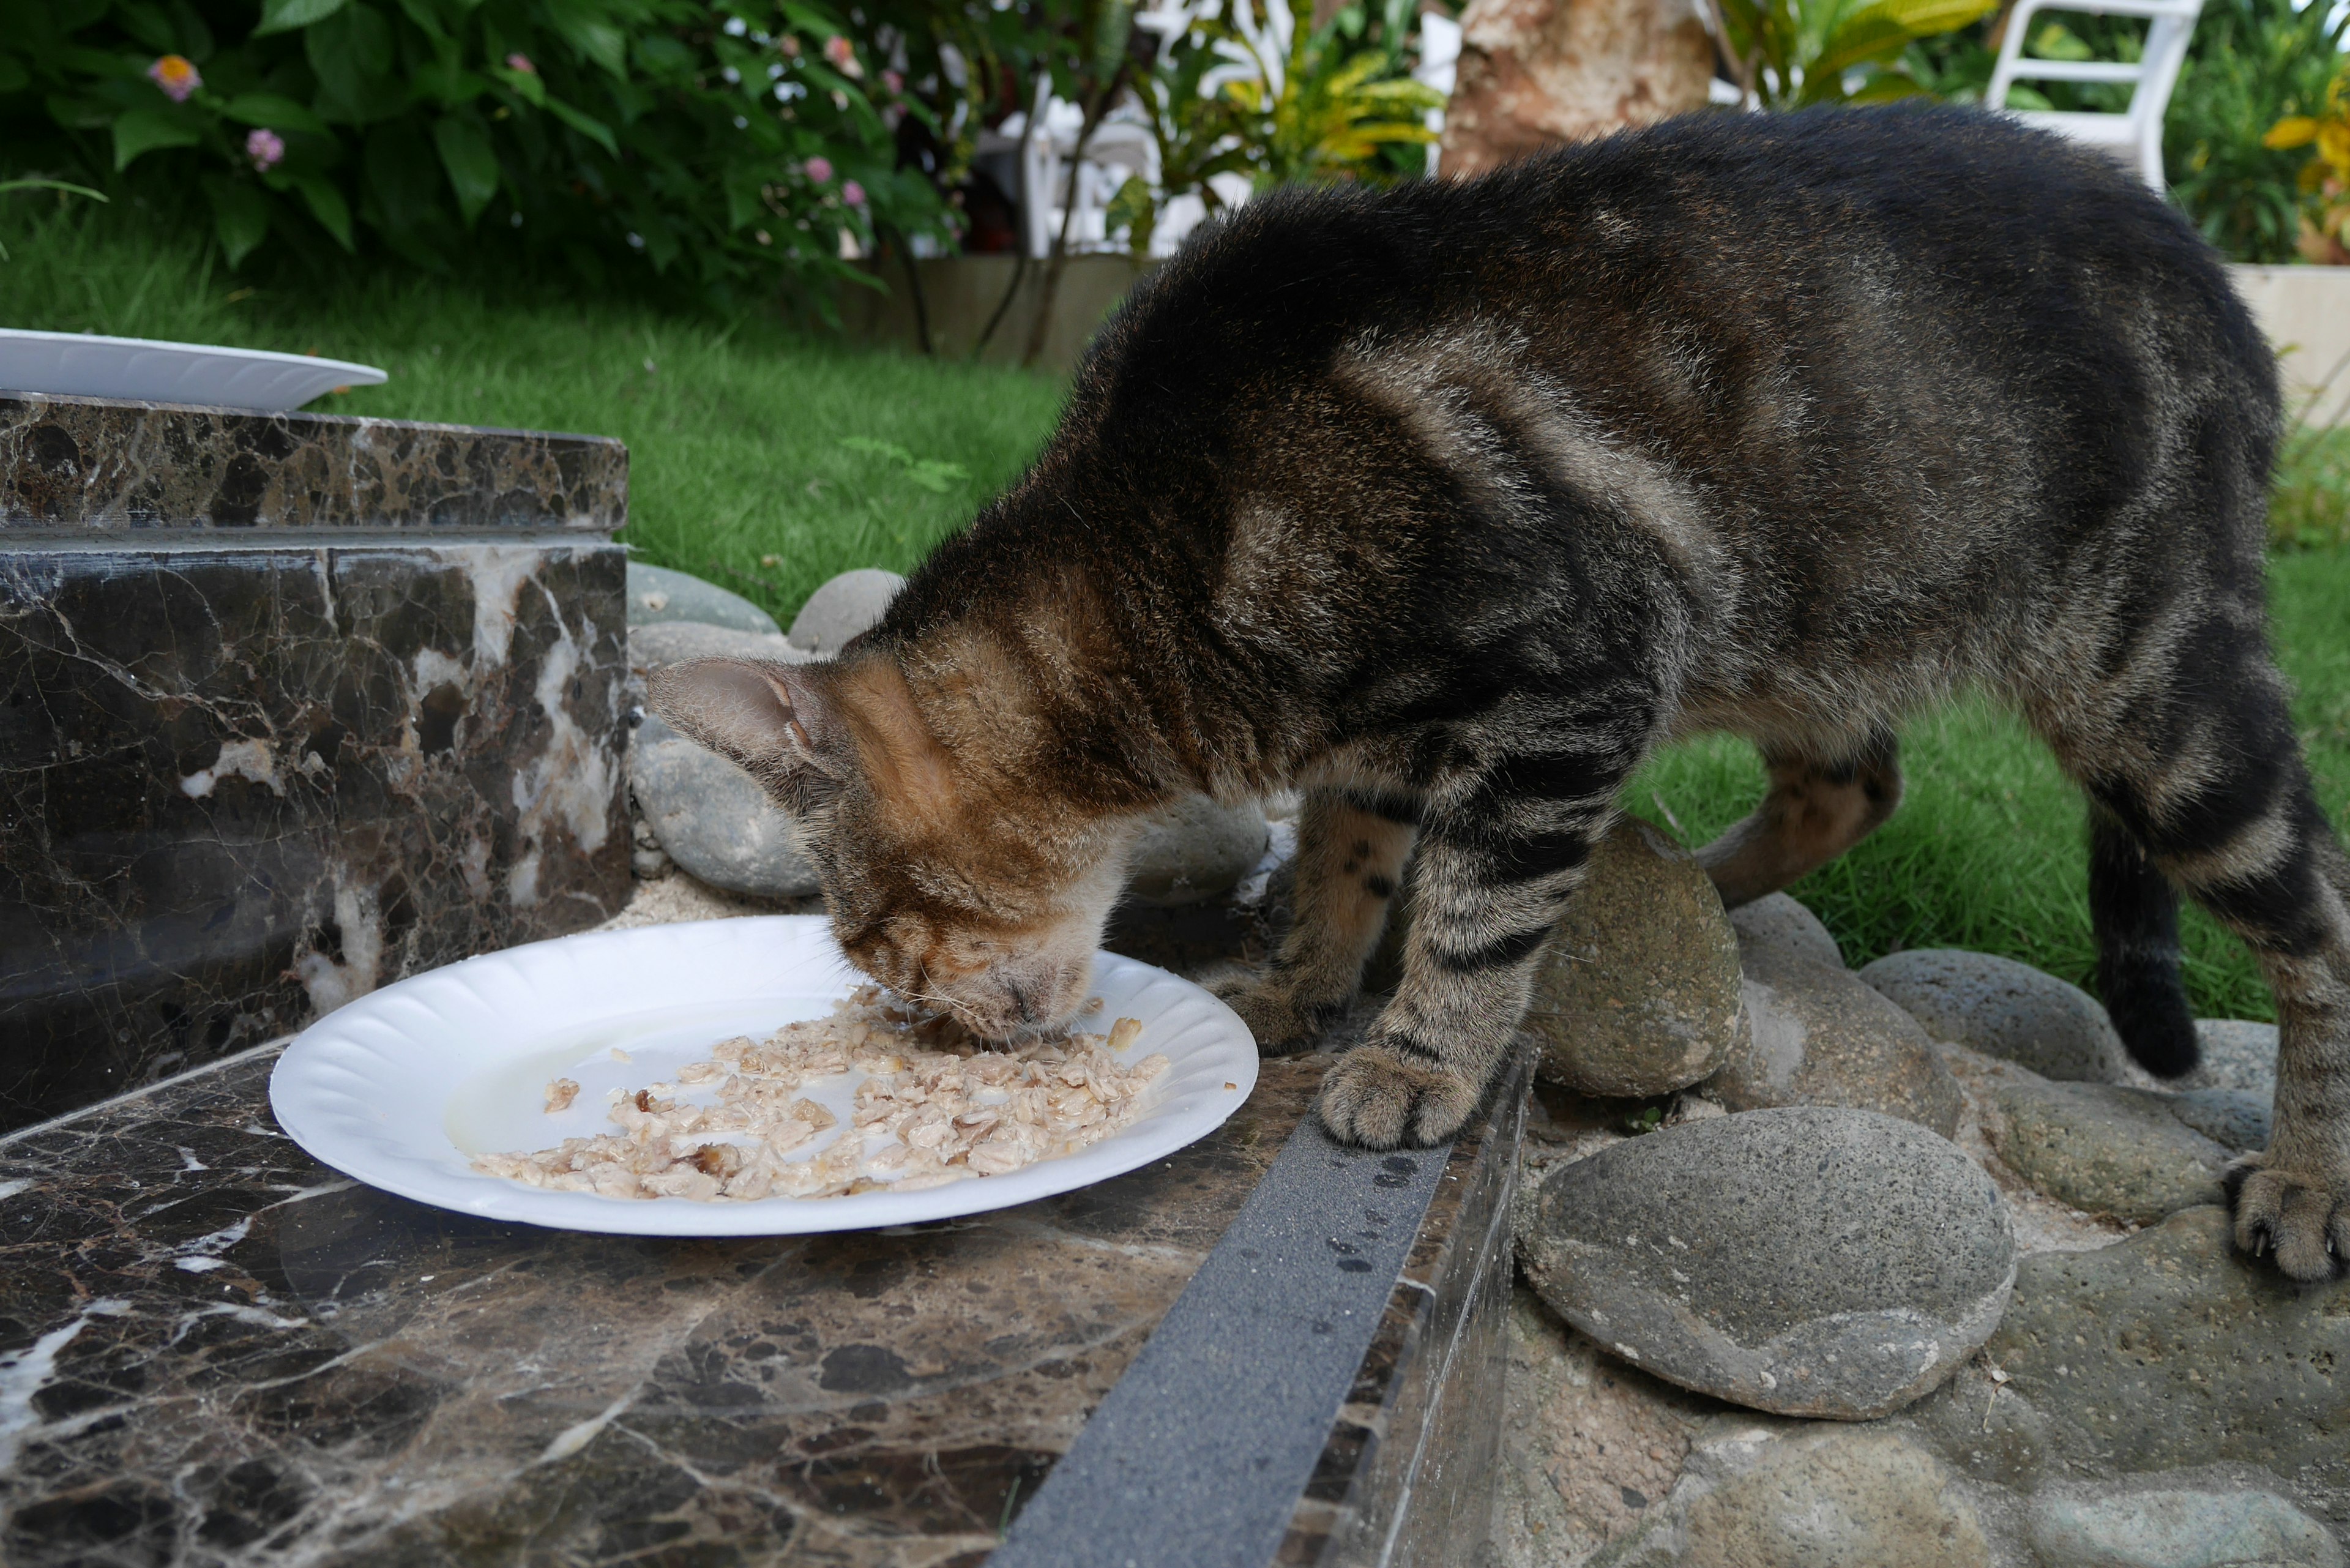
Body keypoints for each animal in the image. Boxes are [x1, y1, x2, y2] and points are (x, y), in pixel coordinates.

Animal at [653, 110, 2350, 1288]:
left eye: (878, 941)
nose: (932, 1037)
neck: (1167, 548)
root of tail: (2213, 278)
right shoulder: (1392, 728)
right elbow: (1347, 855)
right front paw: (1307, 978)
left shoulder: (1571, 689)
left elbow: (1476, 917)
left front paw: (1416, 1057)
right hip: (1795, 625)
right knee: (1855, 781)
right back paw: (1697, 887)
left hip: (2148, 693)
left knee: (2319, 925)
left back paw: (2309, 1182)